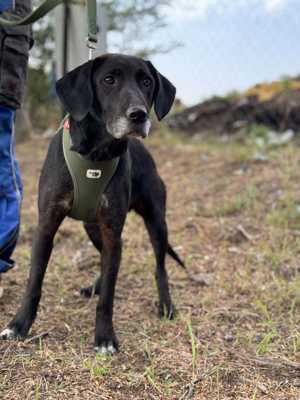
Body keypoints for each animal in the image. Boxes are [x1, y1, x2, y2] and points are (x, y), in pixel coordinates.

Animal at [0, 54, 185, 354]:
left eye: (146, 82)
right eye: (109, 80)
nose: (139, 115)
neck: (96, 153)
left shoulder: (112, 231)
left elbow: (109, 294)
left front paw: (105, 338)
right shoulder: (47, 226)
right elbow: (34, 282)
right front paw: (18, 326)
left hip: (156, 222)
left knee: (160, 267)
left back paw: (166, 305)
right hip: (92, 227)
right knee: (106, 258)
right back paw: (94, 287)